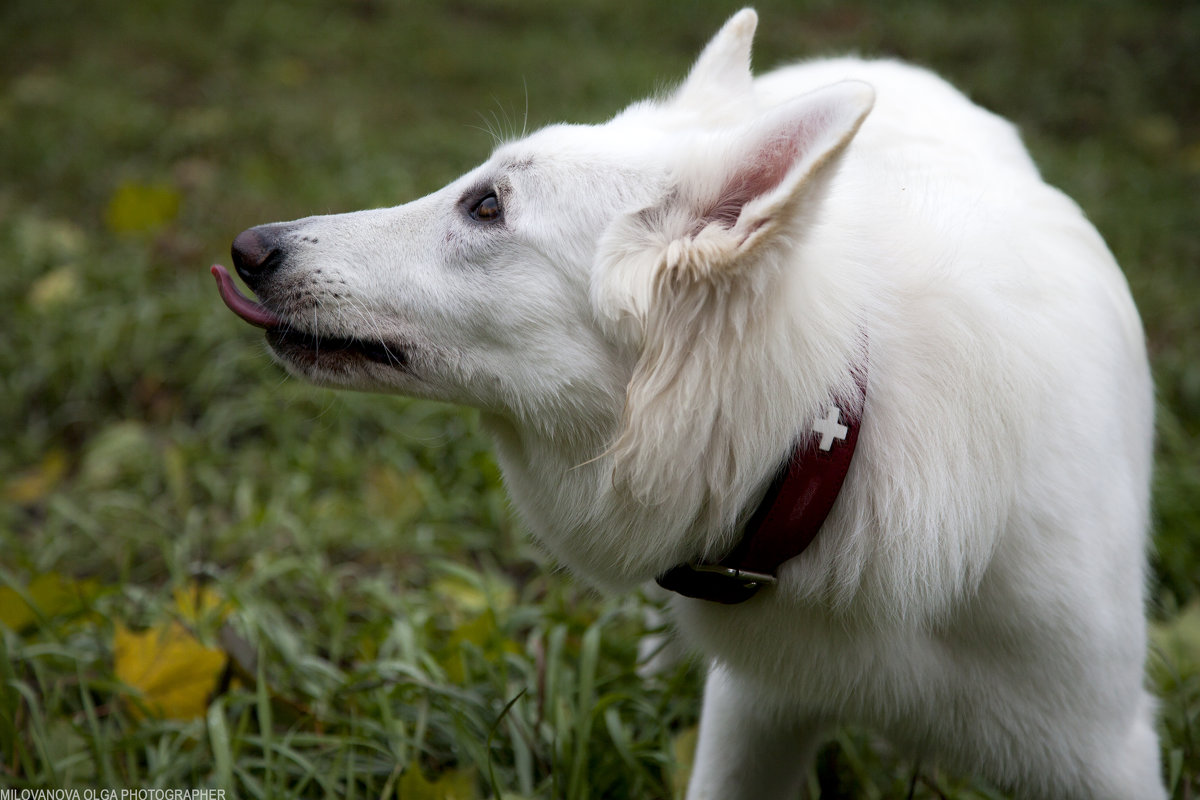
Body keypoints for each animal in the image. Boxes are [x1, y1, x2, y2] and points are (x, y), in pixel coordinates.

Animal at [216, 9, 1161, 796]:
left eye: (486, 205)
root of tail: (874, 58)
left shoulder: (1105, 751)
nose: (249, 247)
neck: (835, 439)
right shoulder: (757, 715)